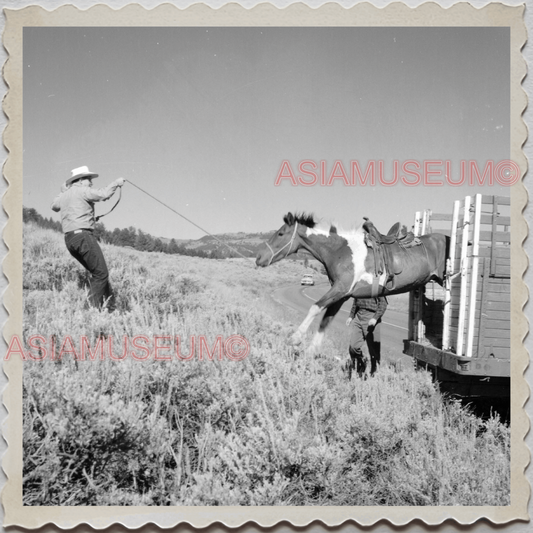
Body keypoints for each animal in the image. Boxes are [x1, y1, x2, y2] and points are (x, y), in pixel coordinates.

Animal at [256, 211, 446, 354]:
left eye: (280, 233)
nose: (259, 258)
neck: (340, 250)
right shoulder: (341, 296)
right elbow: (326, 319)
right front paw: (312, 350)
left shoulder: (340, 289)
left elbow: (315, 307)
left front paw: (295, 338)